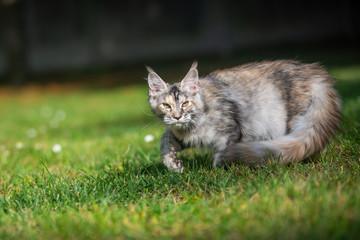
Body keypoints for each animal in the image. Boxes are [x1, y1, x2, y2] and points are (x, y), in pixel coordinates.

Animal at [146, 60, 340, 172]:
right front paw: (174, 166)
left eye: (185, 104)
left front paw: (218, 171)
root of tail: (318, 75)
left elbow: (222, 154)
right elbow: (164, 144)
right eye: (166, 106)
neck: (191, 129)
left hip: (296, 118)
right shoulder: (179, 136)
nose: (177, 117)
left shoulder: (231, 132)